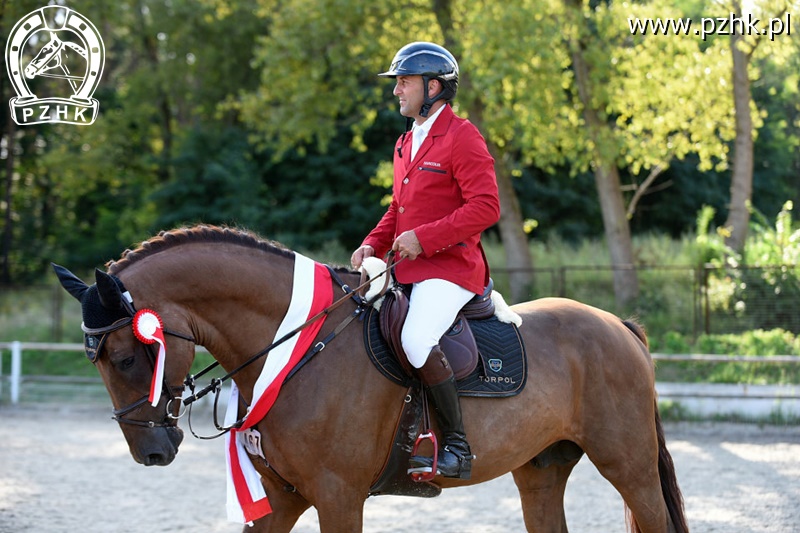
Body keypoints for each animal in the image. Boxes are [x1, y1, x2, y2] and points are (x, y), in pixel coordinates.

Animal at [53, 224, 688, 532]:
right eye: (96, 362)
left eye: (127, 357)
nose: (151, 452)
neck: (297, 348)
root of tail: (617, 325)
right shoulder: (282, 499)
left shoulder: (338, 497)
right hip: (541, 469)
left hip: (628, 466)